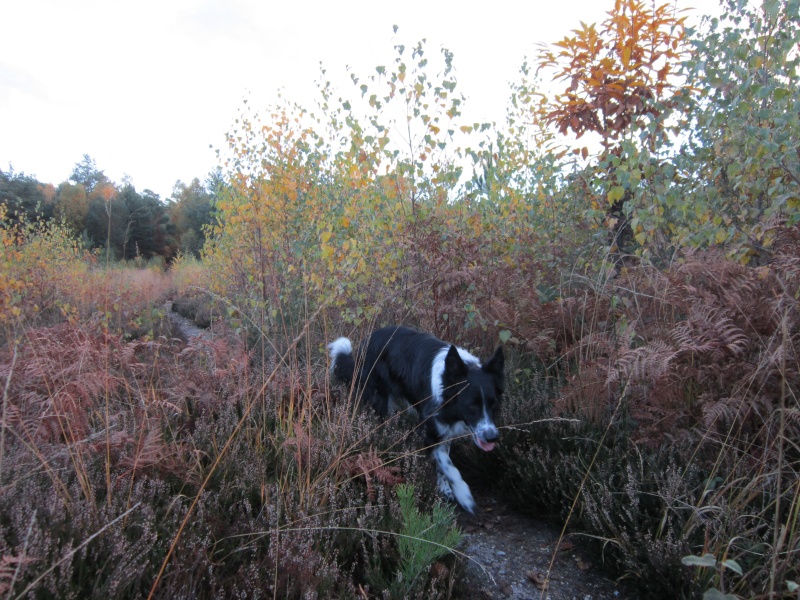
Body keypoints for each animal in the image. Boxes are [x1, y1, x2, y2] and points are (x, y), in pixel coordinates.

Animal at [326, 326, 504, 512]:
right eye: (471, 405)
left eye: (494, 403)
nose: (492, 437)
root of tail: (367, 340)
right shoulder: (429, 430)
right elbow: (448, 465)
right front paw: (463, 494)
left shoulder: (444, 429)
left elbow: (444, 463)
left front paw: (445, 489)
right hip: (379, 400)